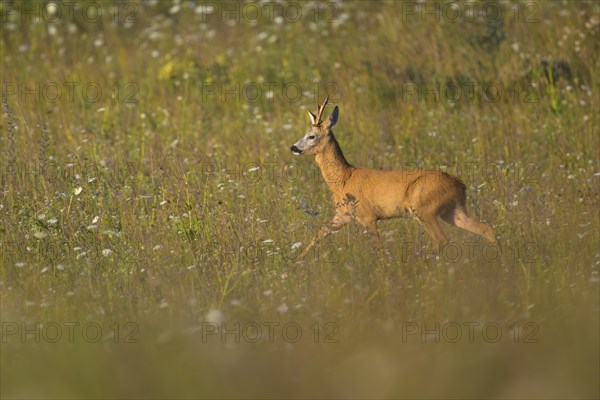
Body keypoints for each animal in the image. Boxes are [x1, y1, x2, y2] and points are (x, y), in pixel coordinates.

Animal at [292, 96, 496, 260]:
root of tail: (460, 184)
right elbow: (319, 233)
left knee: (443, 240)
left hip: (425, 209)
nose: (293, 147)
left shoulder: (368, 216)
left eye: (311, 136)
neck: (343, 178)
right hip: (453, 210)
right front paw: (296, 262)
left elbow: (378, 250)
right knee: (485, 228)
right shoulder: (342, 215)